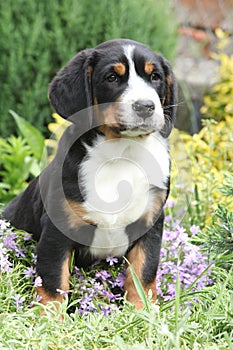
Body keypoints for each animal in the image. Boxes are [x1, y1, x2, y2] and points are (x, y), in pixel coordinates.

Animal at [3, 39, 177, 308]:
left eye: (155, 77)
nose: (145, 106)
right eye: (112, 77)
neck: (122, 153)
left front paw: (142, 314)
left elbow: (143, 276)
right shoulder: (58, 227)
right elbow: (53, 282)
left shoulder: (151, 222)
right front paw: (49, 316)